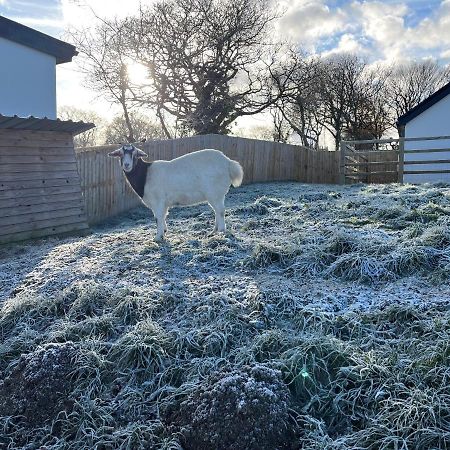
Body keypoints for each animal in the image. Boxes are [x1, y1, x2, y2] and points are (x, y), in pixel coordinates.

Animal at [108, 146, 243, 241]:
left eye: (135, 155)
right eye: (121, 154)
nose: (127, 165)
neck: (146, 174)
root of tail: (228, 163)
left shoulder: (158, 201)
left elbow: (158, 218)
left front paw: (158, 237)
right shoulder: (163, 203)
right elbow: (163, 216)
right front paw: (164, 231)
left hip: (215, 193)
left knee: (220, 211)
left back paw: (221, 231)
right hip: (216, 195)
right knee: (217, 211)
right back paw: (214, 231)